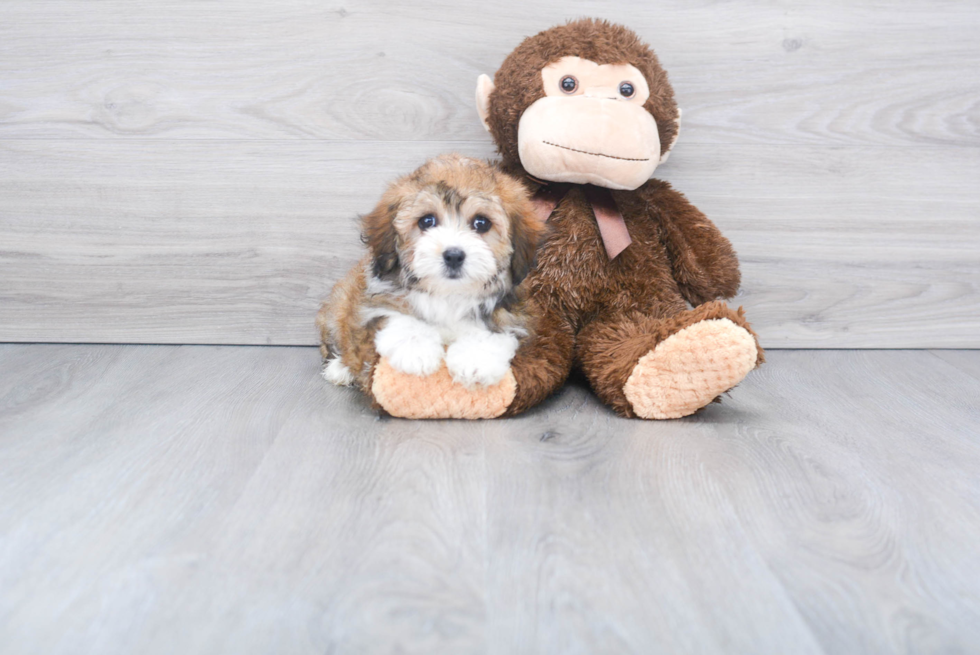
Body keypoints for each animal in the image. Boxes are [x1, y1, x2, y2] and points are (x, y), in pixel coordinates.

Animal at [316, 154, 544, 394]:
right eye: (427, 221)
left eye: (481, 223)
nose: (453, 255)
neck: (449, 295)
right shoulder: (372, 305)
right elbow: (395, 314)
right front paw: (416, 350)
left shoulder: (515, 315)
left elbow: (495, 331)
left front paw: (475, 360)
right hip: (338, 305)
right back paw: (339, 369)